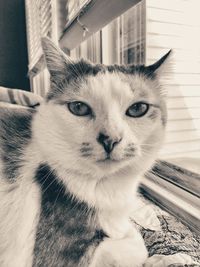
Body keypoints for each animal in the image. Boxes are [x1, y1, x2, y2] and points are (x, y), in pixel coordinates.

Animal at [0, 37, 171, 267]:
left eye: (137, 109)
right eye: (79, 108)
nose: (110, 138)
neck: (106, 187)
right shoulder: (57, 257)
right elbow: (134, 245)